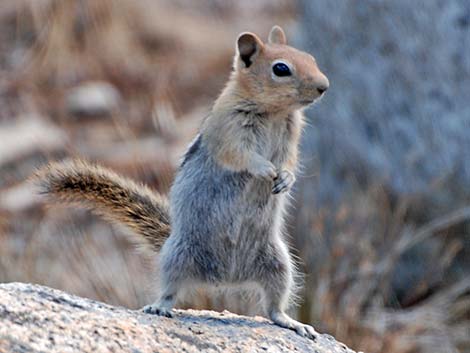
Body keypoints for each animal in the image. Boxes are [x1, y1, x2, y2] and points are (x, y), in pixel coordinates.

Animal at [36, 26, 328, 340]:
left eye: (311, 58)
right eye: (281, 69)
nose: (324, 86)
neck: (274, 112)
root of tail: (225, 279)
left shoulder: (291, 137)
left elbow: (290, 162)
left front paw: (285, 178)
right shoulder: (227, 130)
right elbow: (238, 155)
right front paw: (264, 169)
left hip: (279, 264)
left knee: (273, 307)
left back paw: (292, 323)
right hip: (177, 256)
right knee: (170, 290)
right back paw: (159, 306)